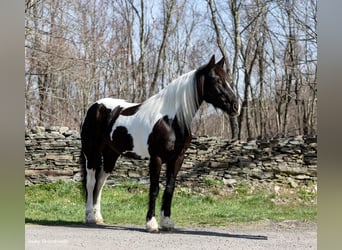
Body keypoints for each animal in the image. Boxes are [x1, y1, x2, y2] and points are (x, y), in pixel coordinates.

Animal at [80, 55, 240, 232]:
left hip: (111, 154)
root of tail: (95, 107)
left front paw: (167, 222)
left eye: (228, 80)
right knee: (91, 182)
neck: (171, 120)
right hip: (92, 152)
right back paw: (89, 217)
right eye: (216, 80)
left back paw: (98, 217)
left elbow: (169, 188)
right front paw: (151, 223)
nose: (236, 106)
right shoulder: (156, 158)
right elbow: (154, 189)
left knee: (100, 182)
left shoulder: (177, 159)